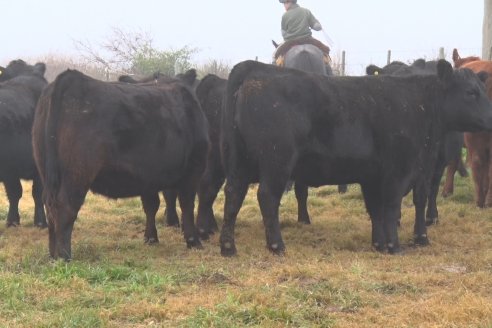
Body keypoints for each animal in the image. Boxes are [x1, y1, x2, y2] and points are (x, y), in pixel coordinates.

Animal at [32, 68, 209, 258]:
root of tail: (70, 78)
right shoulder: (193, 170)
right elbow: (187, 205)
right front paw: (193, 241)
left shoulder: (148, 177)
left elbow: (151, 205)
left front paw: (151, 238)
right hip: (78, 172)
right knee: (66, 205)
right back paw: (64, 255)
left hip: (46, 170)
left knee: (50, 206)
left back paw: (53, 254)